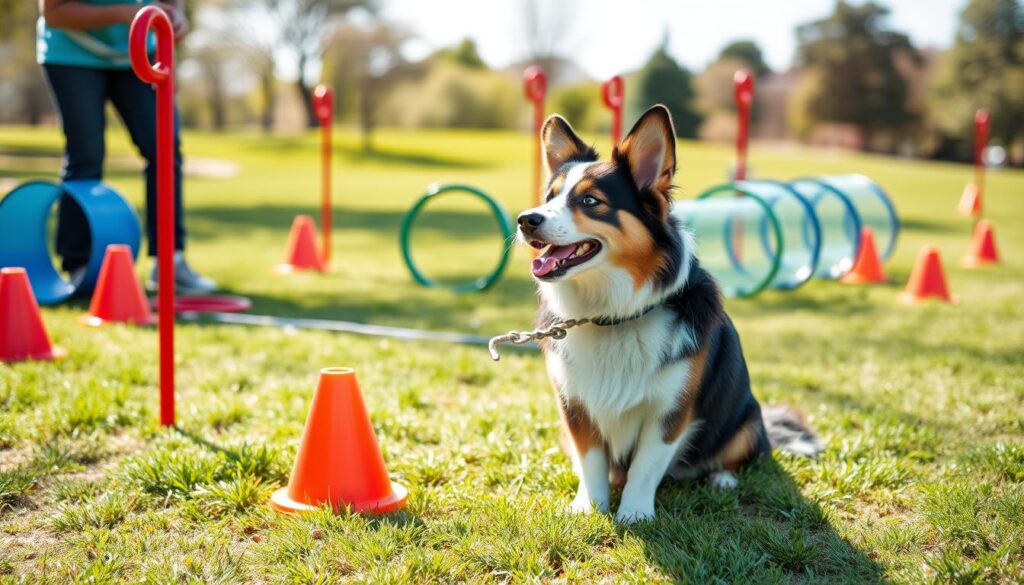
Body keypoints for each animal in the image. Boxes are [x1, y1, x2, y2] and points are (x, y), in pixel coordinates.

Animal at [516, 103, 819, 522]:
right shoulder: (574, 404)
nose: (526, 220)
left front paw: (634, 514)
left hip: (745, 417)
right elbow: (591, 459)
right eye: (549, 196)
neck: (615, 314)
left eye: (591, 201)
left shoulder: (671, 409)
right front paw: (590, 506)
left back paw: (722, 479)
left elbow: (646, 465)